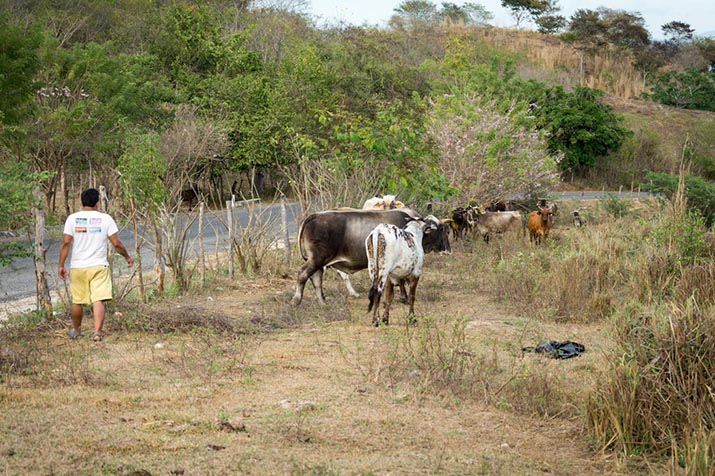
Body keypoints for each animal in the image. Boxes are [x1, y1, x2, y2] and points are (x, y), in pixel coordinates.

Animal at [292, 208, 449, 305]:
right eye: (441, 229)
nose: (447, 248)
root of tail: (315, 215)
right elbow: (401, 281)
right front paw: (404, 298)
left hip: (319, 262)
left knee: (316, 280)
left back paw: (322, 302)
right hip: (316, 259)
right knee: (303, 274)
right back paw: (296, 299)